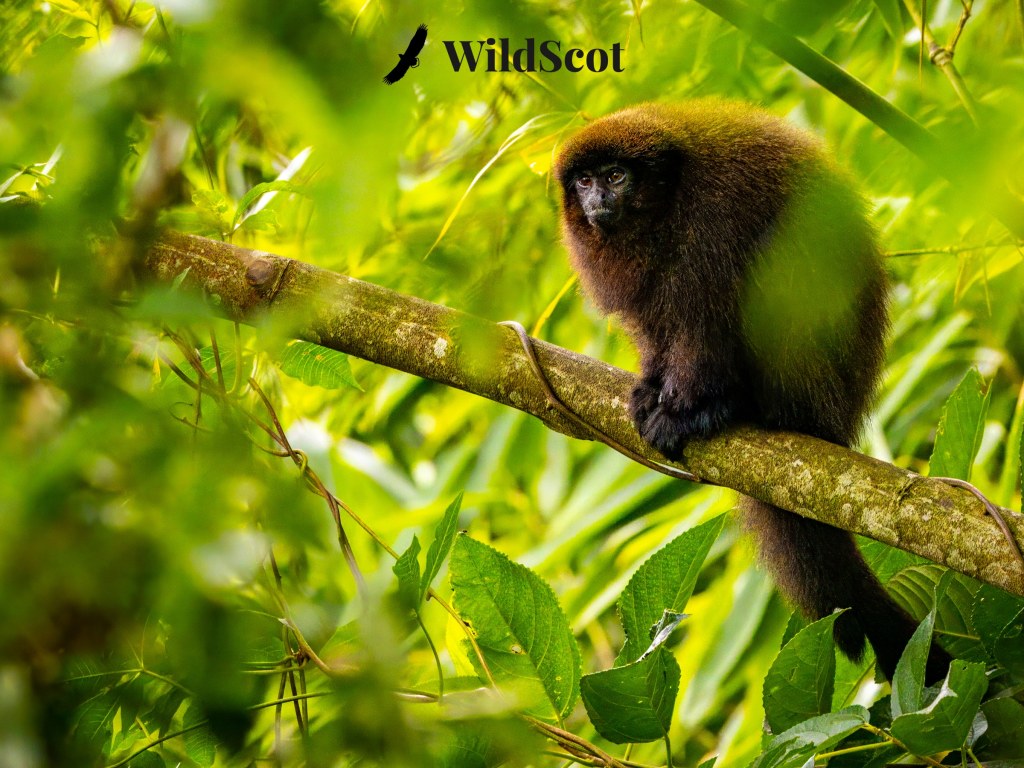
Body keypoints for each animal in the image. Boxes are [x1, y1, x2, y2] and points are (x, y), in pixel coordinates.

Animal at [553, 99, 951, 683]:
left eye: (616, 176)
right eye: (584, 180)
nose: (597, 201)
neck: (667, 200)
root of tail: (835, 422)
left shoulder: (714, 212)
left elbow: (705, 312)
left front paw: (685, 409)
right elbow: (656, 322)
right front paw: (651, 388)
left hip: (805, 380)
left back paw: (732, 407)